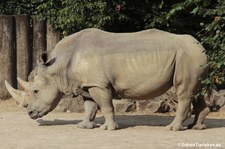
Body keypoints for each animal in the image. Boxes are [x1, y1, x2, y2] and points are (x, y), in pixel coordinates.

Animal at [5, 28, 209, 130]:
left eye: (35, 91)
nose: (30, 113)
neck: (59, 65)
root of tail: (200, 45)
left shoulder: (98, 84)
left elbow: (105, 105)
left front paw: (108, 128)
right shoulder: (86, 84)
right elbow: (89, 106)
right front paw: (84, 126)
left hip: (187, 55)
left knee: (183, 92)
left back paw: (172, 128)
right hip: (192, 55)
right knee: (196, 91)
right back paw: (196, 127)